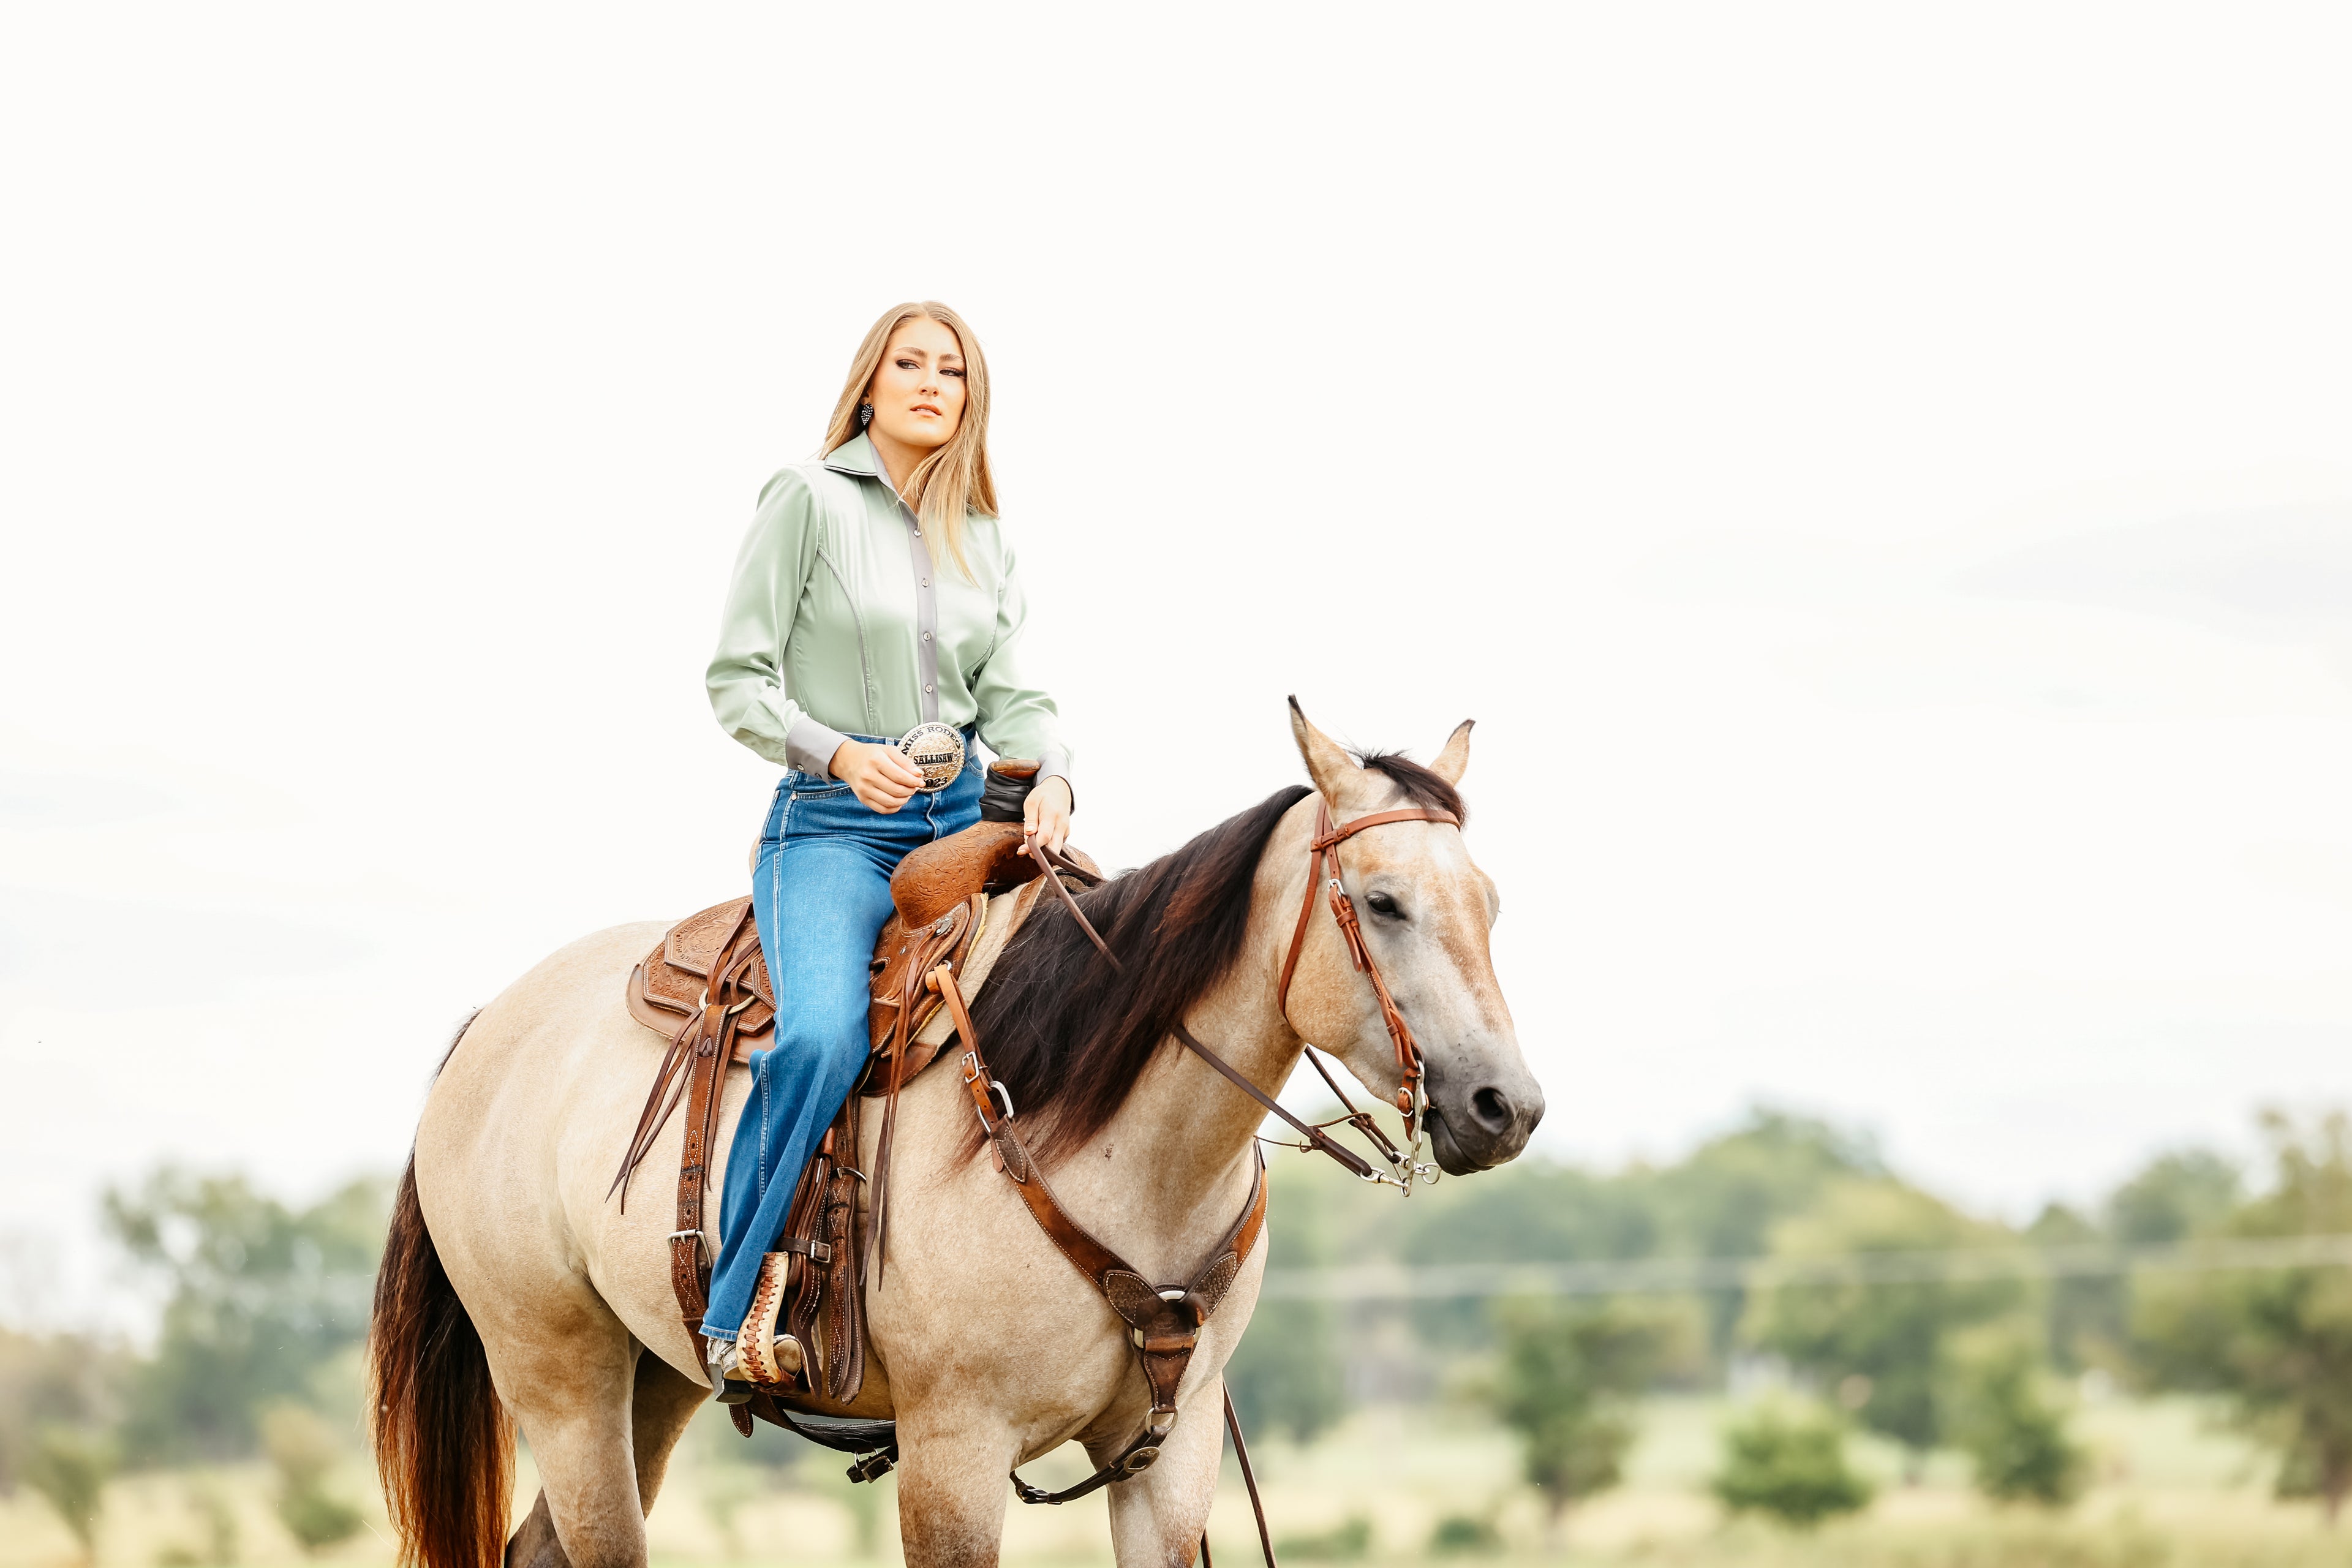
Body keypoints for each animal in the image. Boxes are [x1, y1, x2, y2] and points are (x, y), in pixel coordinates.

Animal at [367, 705, 1543, 1568]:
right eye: (1382, 902)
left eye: (1490, 903)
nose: (1507, 1106)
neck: (1112, 1142)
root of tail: (489, 1029)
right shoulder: (954, 1456)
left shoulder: (1171, 1459)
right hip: (561, 1378)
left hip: (654, 1376)